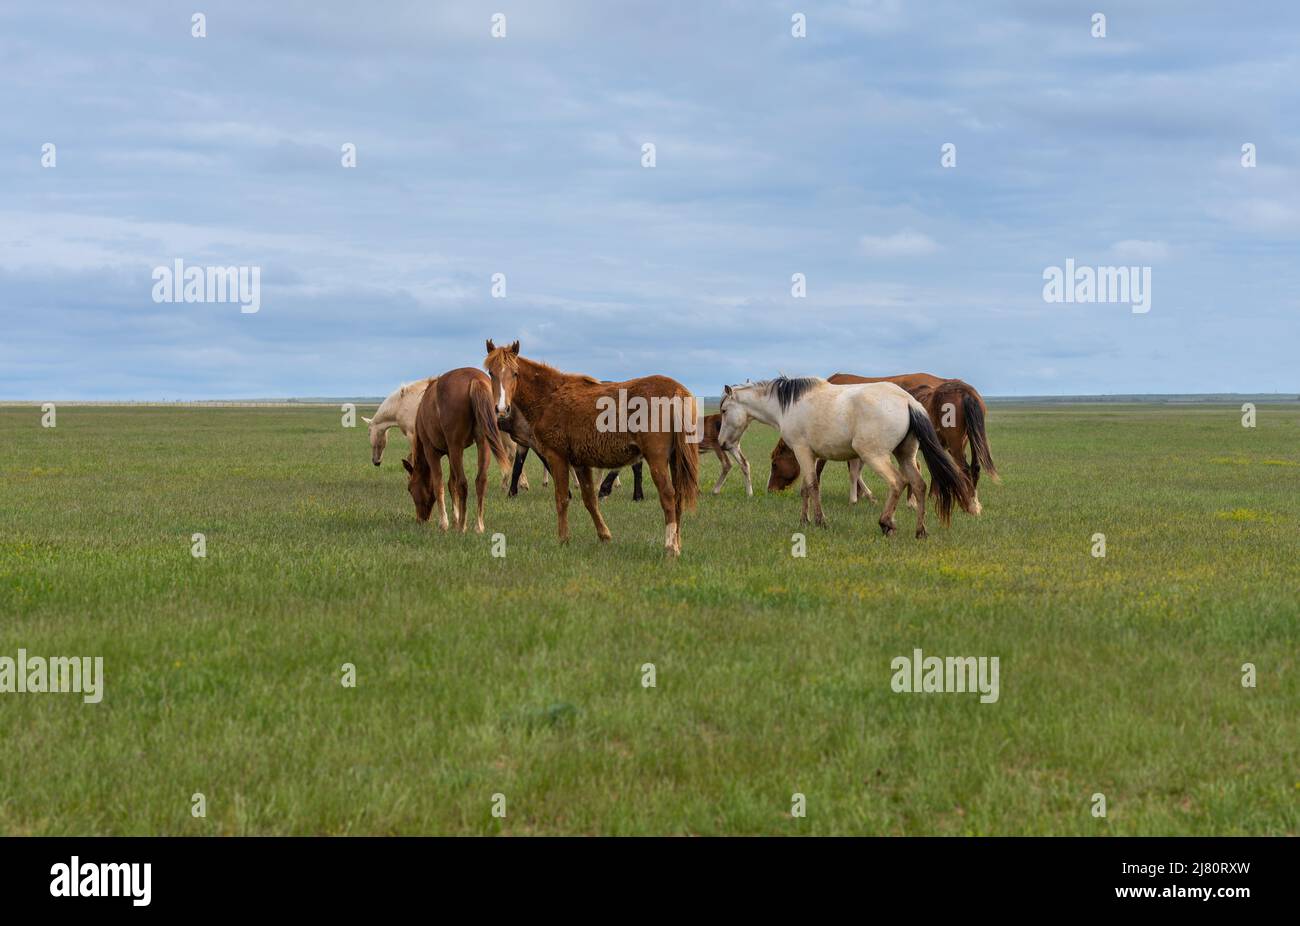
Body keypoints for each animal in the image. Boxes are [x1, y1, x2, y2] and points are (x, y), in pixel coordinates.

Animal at [367, 377, 528, 491]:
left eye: (369, 434)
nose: (376, 462)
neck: (403, 403)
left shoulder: (413, 435)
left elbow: (412, 458)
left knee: (512, 452)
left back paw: (514, 484)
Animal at [402, 367, 509, 533]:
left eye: (410, 488)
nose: (421, 520)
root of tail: (475, 379)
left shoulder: (432, 451)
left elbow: (439, 484)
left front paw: (445, 523)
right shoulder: (452, 452)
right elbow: (451, 484)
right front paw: (455, 519)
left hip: (456, 447)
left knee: (463, 483)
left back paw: (462, 527)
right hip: (481, 444)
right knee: (480, 481)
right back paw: (478, 526)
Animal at [483, 339, 699, 555]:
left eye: (515, 373)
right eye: (491, 373)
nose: (501, 409)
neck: (549, 396)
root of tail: (678, 391)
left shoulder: (557, 457)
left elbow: (562, 498)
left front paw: (563, 539)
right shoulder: (580, 463)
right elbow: (590, 500)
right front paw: (604, 535)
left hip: (657, 459)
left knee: (668, 496)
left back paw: (671, 547)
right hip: (675, 460)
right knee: (678, 497)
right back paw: (677, 542)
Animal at [717, 376, 974, 537]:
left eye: (724, 410)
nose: (722, 443)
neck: (788, 406)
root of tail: (908, 401)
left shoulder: (803, 451)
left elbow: (812, 486)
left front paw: (819, 521)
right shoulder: (811, 456)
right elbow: (806, 488)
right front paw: (804, 520)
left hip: (874, 456)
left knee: (897, 482)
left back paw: (886, 524)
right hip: (905, 455)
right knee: (919, 485)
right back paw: (920, 531)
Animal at [768, 372, 997, 513]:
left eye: (774, 464)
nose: (771, 490)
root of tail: (966, 392)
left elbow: (834, 469)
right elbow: (856, 470)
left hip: (956, 444)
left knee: (963, 469)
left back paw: (969, 504)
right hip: (969, 442)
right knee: (972, 469)